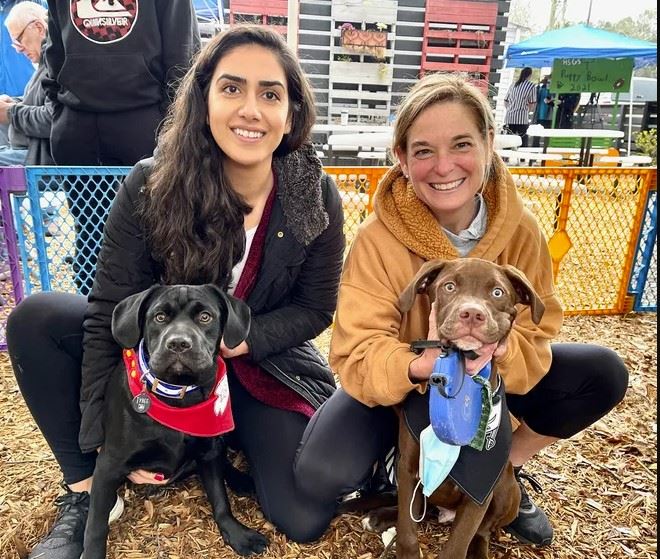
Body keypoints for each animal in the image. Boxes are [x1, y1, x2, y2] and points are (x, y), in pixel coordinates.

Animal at [82, 286, 268, 556]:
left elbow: (220, 499)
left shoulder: (209, 451)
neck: (177, 397)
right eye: (159, 317)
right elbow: (95, 524)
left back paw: (241, 479)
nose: (179, 343)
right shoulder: (109, 464)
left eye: (205, 317)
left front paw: (237, 534)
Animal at [364, 258, 544, 559]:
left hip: (506, 490)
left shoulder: (480, 490)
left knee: (483, 532)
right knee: (420, 512)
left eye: (497, 292)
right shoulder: (409, 468)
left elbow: (459, 543)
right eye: (449, 287)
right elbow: (407, 529)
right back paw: (380, 515)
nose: (471, 314)